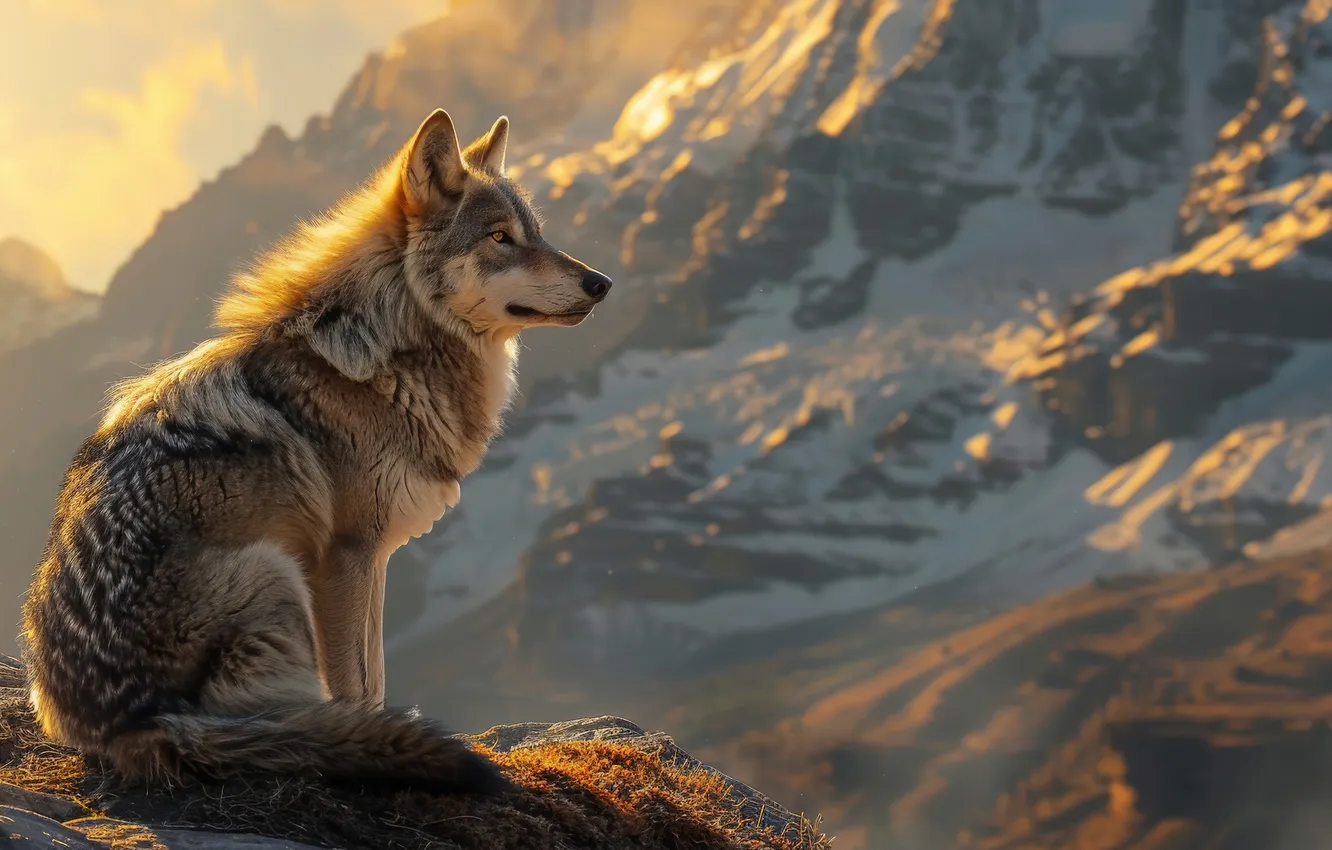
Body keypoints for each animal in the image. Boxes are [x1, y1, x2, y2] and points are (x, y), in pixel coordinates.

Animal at [19, 108, 611, 792]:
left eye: (536, 234)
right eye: (499, 238)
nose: (602, 282)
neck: (387, 353)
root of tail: (123, 729)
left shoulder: (372, 558)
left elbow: (372, 678)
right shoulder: (347, 555)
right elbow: (359, 685)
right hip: (273, 573)